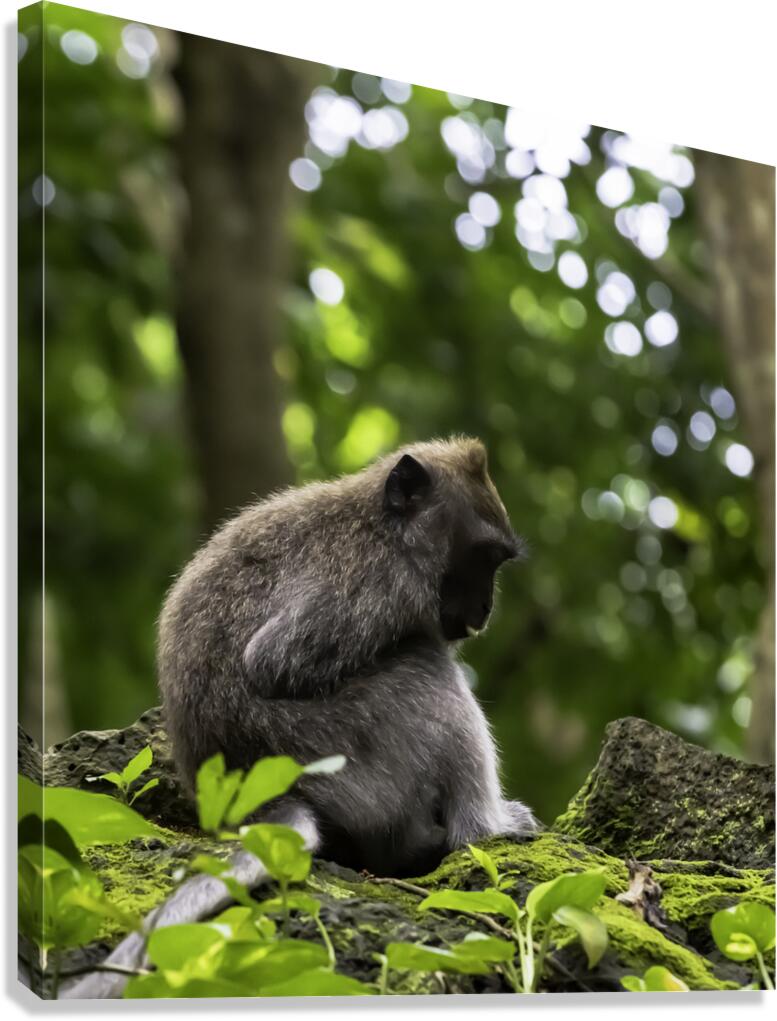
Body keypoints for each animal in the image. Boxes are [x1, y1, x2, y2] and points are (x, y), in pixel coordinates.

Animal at [157, 435, 537, 878]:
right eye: (484, 557)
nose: (486, 607)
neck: (384, 529)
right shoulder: (376, 581)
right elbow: (271, 663)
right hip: (347, 768)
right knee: (425, 667)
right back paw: (484, 828)